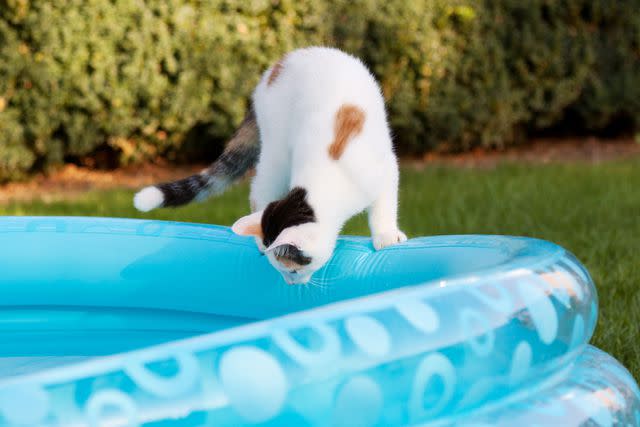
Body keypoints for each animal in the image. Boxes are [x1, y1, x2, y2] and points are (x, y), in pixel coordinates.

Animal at [132, 47, 408, 284]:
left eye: (294, 269)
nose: (290, 283)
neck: (326, 183)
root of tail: (279, 65)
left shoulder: (385, 170)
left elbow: (384, 206)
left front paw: (385, 235)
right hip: (276, 150)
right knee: (259, 190)